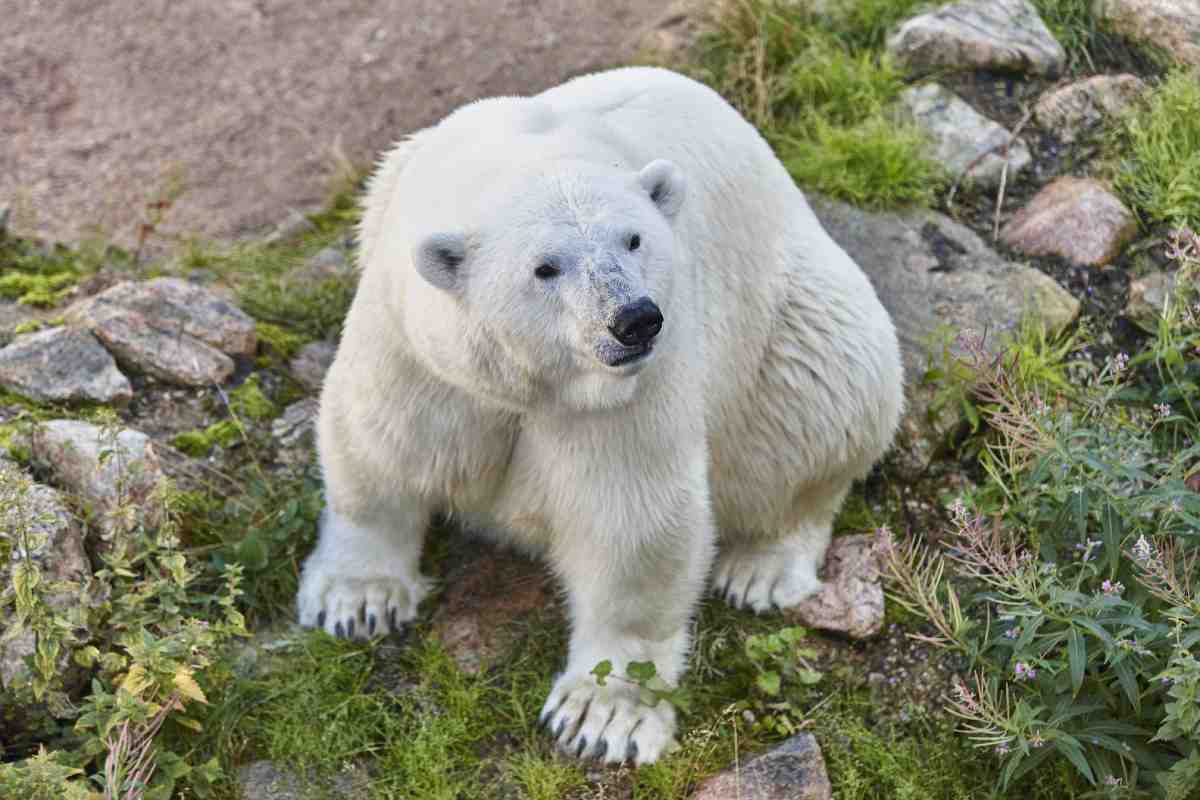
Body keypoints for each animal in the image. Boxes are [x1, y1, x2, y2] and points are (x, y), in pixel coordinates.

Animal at [297, 65, 902, 767]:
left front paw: (602, 714)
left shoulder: (635, 385)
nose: (634, 319)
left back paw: (762, 568)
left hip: (790, 322)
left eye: (633, 239)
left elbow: (629, 517)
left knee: (821, 398)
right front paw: (357, 600)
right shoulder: (416, 342)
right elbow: (384, 441)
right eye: (545, 267)